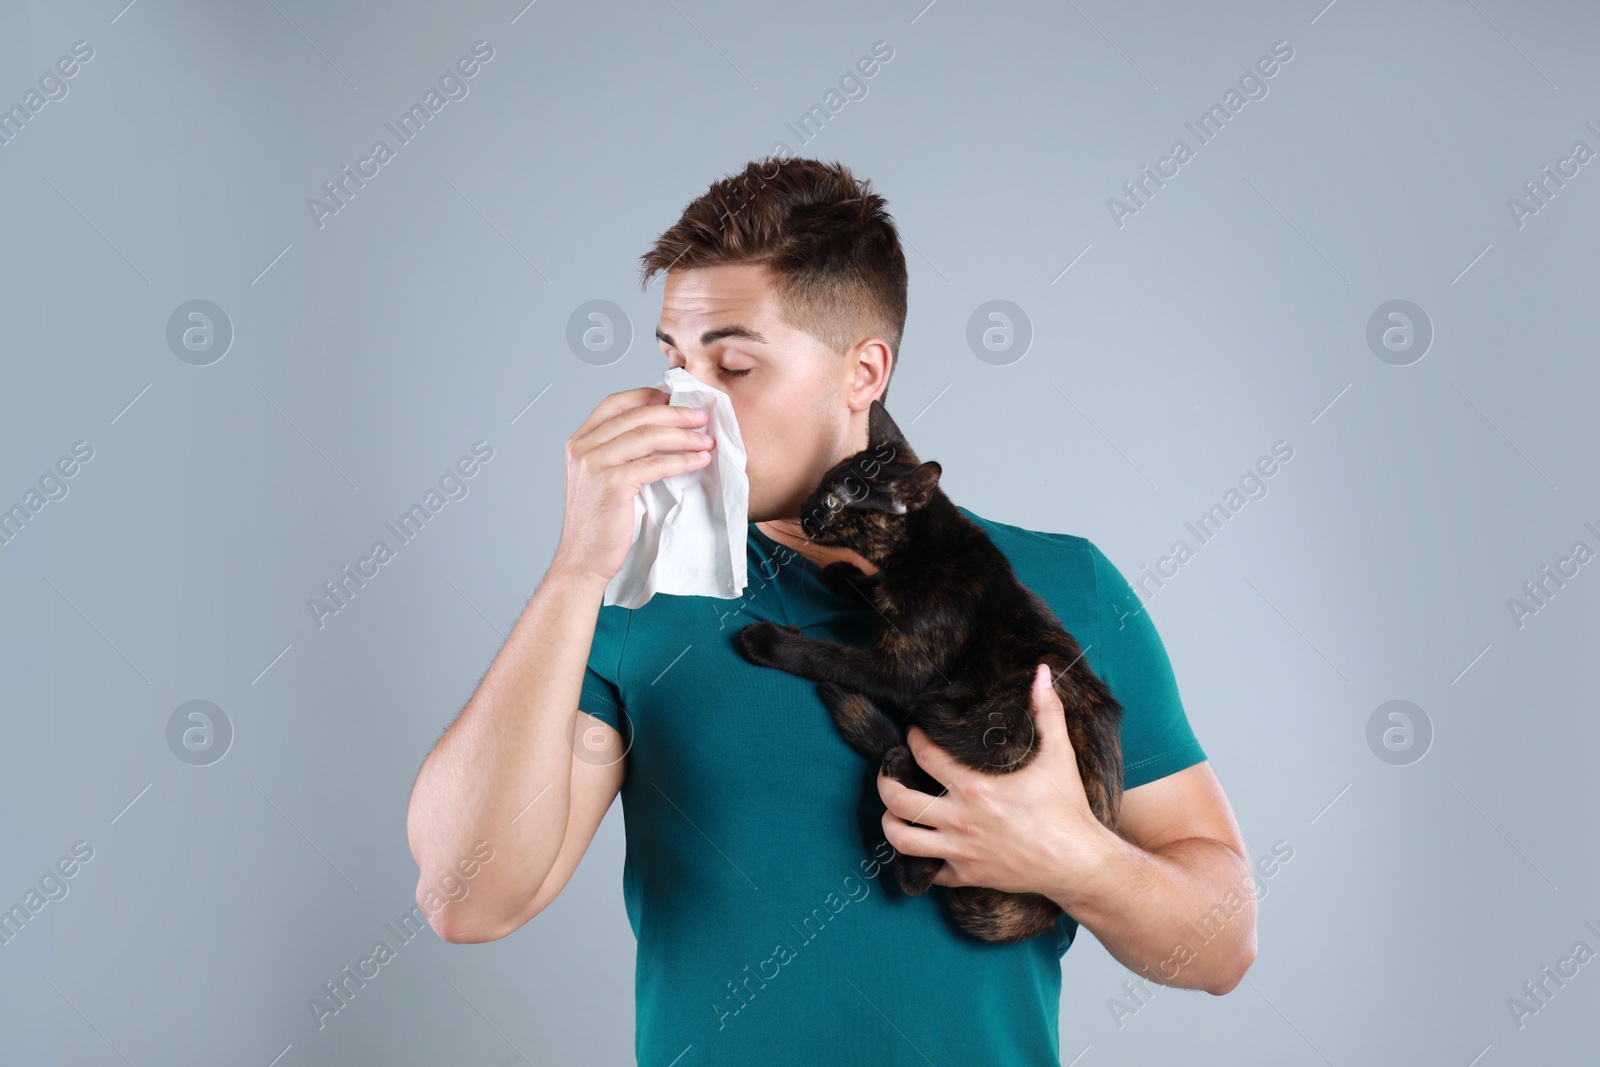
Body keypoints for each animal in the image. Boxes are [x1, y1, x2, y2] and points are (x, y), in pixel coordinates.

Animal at [729, 398, 1126, 940]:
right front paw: (845, 575)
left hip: (999, 725)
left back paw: (901, 776)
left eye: (832, 502)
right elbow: (872, 592)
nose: (805, 511)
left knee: (922, 870)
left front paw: (768, 641)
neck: (929, 553)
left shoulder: (902, 674)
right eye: (819, 485)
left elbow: (829, 655)